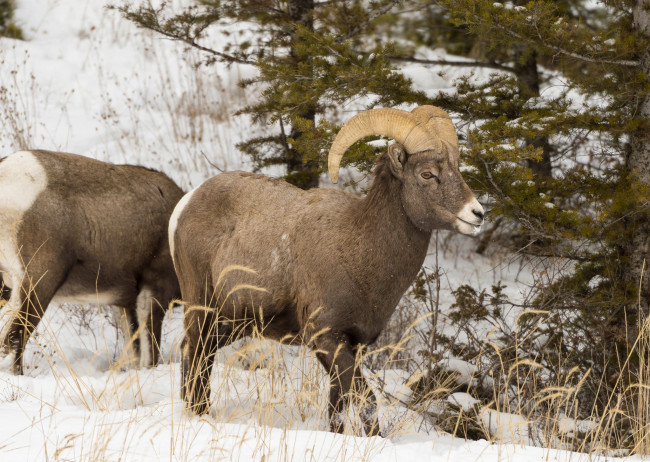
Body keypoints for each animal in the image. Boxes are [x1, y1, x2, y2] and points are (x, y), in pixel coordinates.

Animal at [0, 152, 182, 376]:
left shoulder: (124, 305)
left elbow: (134, 351)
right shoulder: (153, 294)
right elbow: (149, 355)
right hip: (37, 285)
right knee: (13, 338)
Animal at [170, 106, 484, 434]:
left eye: (456, 169)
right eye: (427, 174)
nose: (477, 214)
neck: (360, 252)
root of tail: (185, 204)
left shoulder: (350, 346)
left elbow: (338, 406)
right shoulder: (327, 338)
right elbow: (366, 400)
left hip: (230, 323)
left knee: (197, 355)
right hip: (201, 307)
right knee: (196, 354)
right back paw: (199, 414)